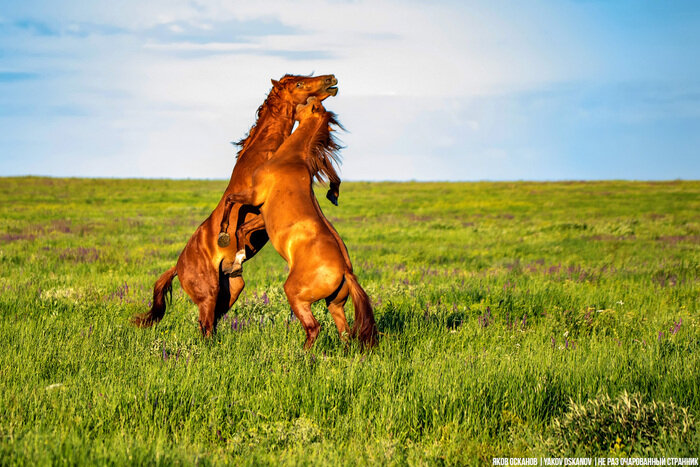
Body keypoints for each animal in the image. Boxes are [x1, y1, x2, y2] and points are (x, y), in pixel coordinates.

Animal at [133, 74, 340, 336]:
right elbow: (241, 222)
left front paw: (334, 193)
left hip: (231, 289)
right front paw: (227, 236)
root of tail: (178, 267)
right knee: (206, 325)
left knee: (212, 323)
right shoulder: (260, 209)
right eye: (299, 84)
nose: (331, 79)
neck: (265, 154)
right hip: (208, 293)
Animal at [221, 98, 380, 348]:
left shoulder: (255, 196)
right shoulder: (263, 215)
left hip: (296, 295)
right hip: (335, 304)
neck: (292, 160)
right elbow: (243, 229)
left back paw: (301, 354)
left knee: (314, 327)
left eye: (306, 102)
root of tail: (346, 271)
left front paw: (223, 234)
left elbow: (230, 203)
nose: (293, 108)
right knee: (344, 333)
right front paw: (237, 261)